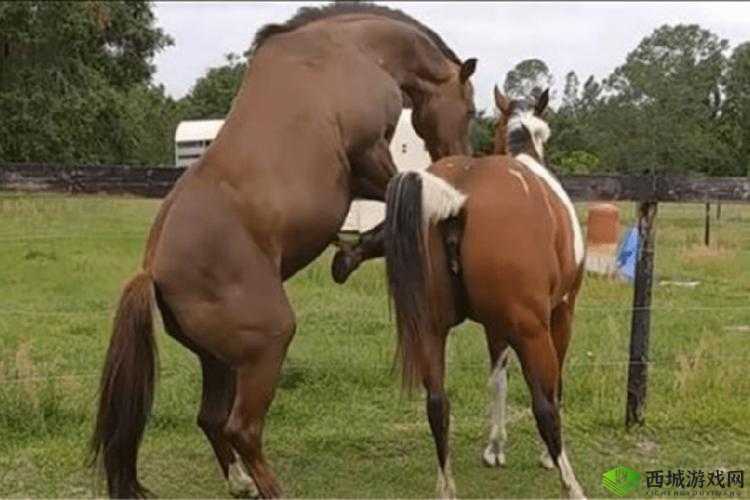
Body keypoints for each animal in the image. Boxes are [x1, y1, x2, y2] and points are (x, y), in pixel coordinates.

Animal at [89, 4, 477, 498]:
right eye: (470, 108)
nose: (459, 155)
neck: (350, 48)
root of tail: (153, 271)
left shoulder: (361, 175)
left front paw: (348, 254)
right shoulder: (368, 156)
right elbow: (406, 195)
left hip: (219, 360)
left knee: (211, 419)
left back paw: (240, 483)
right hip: (267, 346)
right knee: (241, 429)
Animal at [381, 87, 586, 498]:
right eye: (546, 133)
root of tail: (458, 195)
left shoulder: (494, 326)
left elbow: (497, 381)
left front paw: (494, 447)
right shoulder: (561, 312)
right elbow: (554, 386)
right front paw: (542, 456)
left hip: (430, 327)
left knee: (437, 404)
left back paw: (446, 487)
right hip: (532, 330)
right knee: (544, 406)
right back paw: (570, 483)